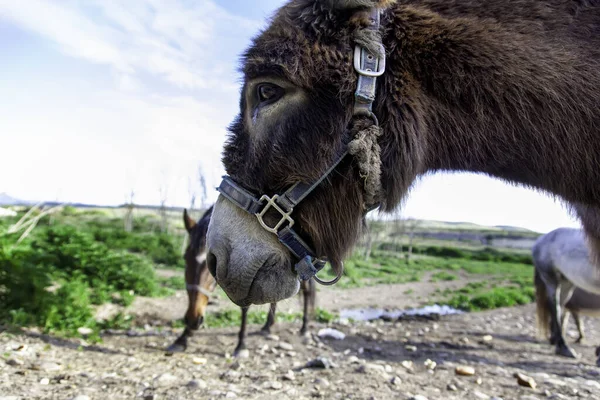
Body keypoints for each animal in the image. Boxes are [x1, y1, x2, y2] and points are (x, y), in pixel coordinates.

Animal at [164, 208, 314, 354]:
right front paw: (182, 339)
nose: (193, 319)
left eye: (210, 264)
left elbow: (244, 306)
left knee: (306, 292)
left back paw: (305, 329)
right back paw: (267, 326)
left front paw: (241, 345)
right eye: (185, 257)